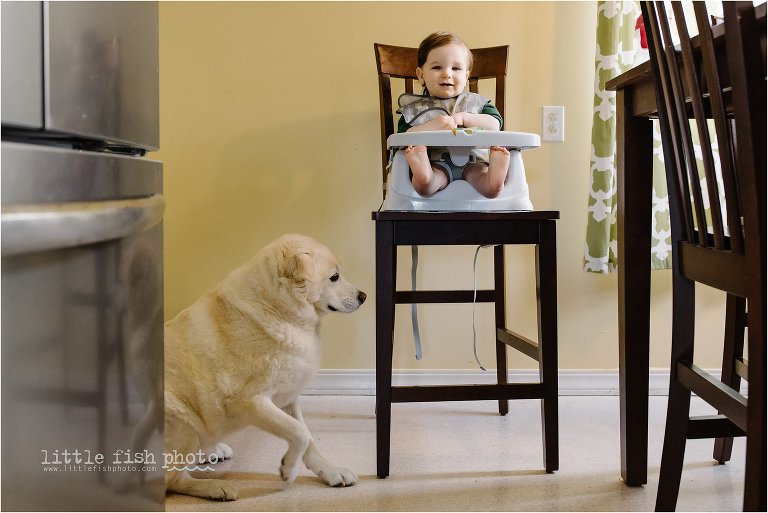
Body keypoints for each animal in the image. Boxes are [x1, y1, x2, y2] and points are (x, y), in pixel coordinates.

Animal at [164, 234, 366, 498]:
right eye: (334, 277)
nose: (364, 296)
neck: (278, 308)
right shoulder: (249, 402)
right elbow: (299, 432)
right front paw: (289, 469)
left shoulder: (288, 397)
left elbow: (308, 437)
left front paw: (331, 472)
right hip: (182, 422)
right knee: (172, 479)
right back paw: (215, 486)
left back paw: (212, 451)